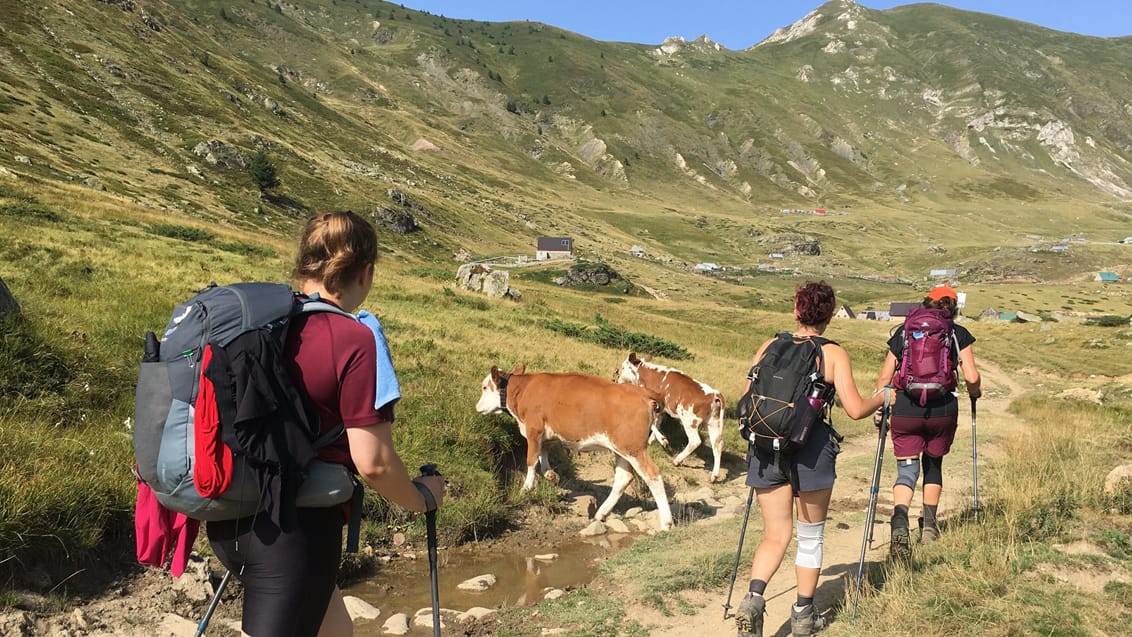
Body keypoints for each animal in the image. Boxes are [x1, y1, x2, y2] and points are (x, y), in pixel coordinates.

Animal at [475, 366, 670, 531]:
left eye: (484, 387)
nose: (477, 407)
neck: (523, 389)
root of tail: (642, 392)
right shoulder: (548, 433)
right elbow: (543, 453)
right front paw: (550, 474)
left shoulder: (533, 428)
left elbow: (531, 459)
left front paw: (526, 488)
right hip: (620, 448)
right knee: (624, 478)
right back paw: (601, 513)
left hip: (633, 448)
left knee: (653, 475)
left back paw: (666, 523)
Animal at [611, 353, 724, 484]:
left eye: (623, 367)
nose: (618, 380)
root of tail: (714, 394)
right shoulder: (661, 409)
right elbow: (657, 423)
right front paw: (652, 441)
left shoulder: (653, 404)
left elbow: (653, 424)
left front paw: (662, 440)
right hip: (713, 423)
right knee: (717, 444)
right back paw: (714, 476)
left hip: (689, 420)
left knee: (695, 441)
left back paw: (677, 460)